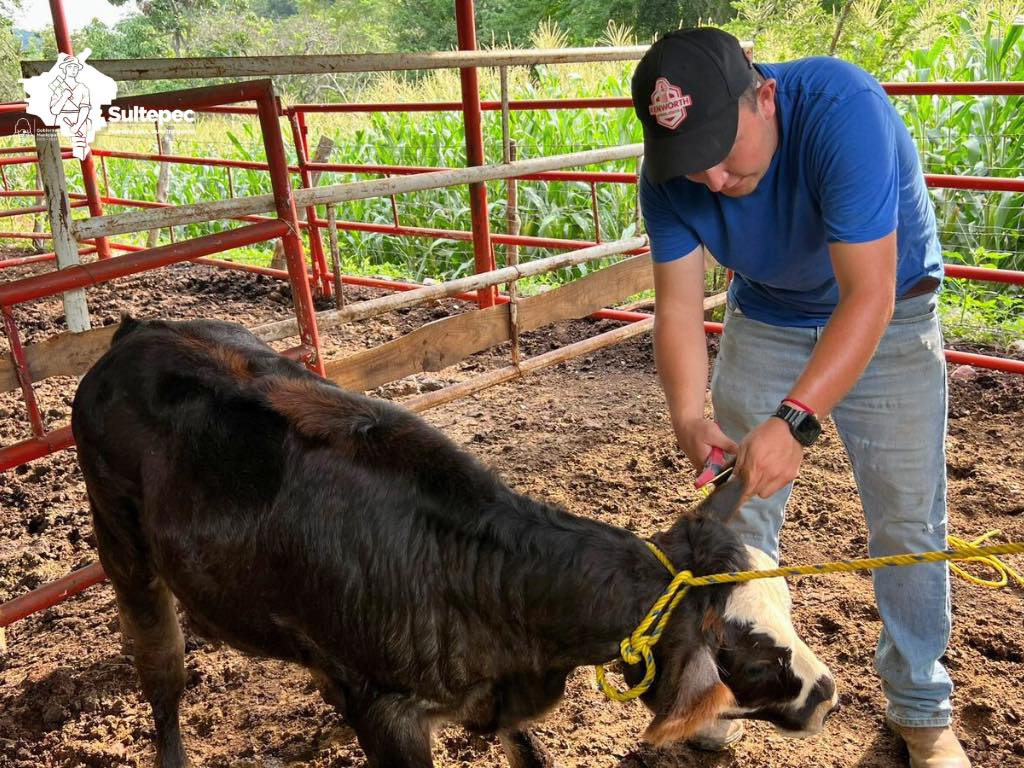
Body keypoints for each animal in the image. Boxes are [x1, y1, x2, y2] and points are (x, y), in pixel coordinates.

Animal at [74, 319, 839, 768]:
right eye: (753, 653)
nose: (830, 693)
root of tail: (138, 331)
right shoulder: (390, 717)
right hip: (124, 550)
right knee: (162, 672)